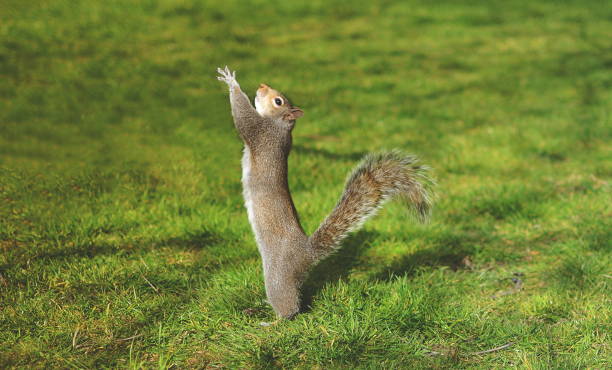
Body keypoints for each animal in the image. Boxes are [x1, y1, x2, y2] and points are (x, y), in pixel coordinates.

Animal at [218, 66, 432, 318]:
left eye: (278, 101)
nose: (261, 86)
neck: (281, 126)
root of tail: (307, 255)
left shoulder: (261, 133)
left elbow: (243, 118)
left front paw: (231, 82)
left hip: (276, 276)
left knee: (290, 306)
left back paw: (276, 319)